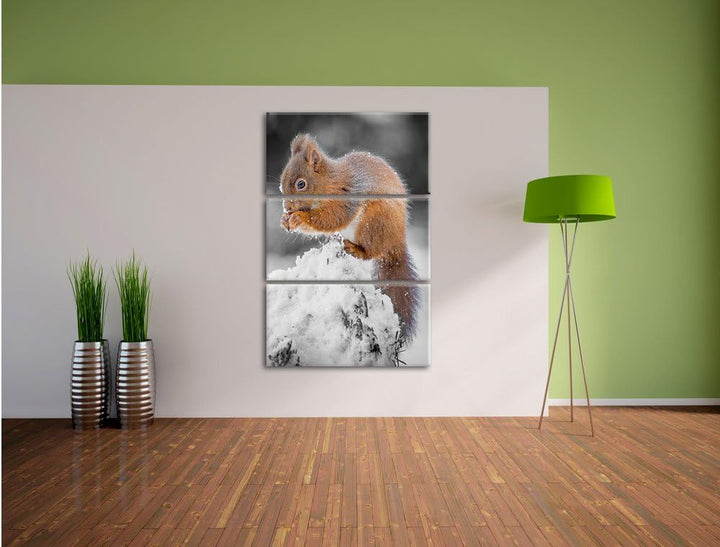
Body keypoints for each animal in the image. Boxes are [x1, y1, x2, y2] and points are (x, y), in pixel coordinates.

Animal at [279, 133, 419, 340]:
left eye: (301, 184)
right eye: (281, 185)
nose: (287, 207)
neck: (330, 181)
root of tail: (396, 241)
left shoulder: (346, 197)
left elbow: (332, 218)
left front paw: (298, 218)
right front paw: (285, 219)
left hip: (373, 222)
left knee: (371, 251)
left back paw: (356, 249)